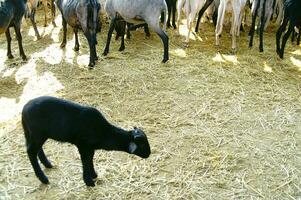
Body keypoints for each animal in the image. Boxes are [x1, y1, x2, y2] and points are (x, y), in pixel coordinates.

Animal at [21, 96, 150, 187]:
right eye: (143, 145)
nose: (149, 154)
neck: (105, 133)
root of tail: (24, 110)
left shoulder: (90, 148)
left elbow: (90, 159)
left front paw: (93, 175)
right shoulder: (83, 146)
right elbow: (85, 161)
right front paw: (89, 182)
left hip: (36, 134)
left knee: (38, 149)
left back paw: (47, 164)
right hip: (37, 133)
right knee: (31, 151)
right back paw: (43, 178)